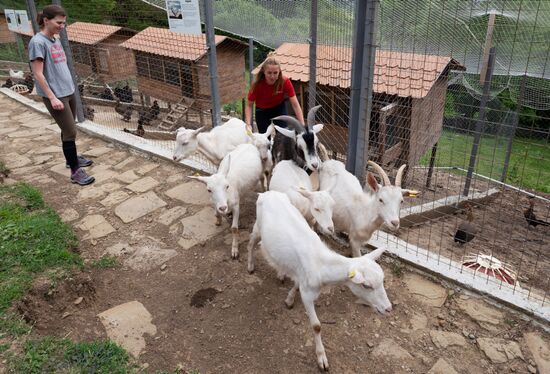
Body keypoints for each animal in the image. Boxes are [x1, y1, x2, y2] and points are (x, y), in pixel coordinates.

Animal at [248, 190, 394, 372]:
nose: (388, 309)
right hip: (257, 226)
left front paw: (289, 299)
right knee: (251, 242)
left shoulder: (303, 276)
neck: (321, 264)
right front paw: (322, 359)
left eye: (382, 281)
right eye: (366, 285)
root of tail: (266, 193)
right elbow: (317, 326)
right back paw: (250, 265)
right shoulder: (307, 294)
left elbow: (296, 284)